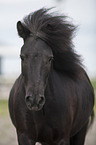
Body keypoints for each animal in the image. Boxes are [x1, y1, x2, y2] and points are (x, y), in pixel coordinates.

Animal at [8, 8, 94, 145]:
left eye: (50, 58)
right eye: (22, 56)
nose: (35, 100)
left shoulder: (62, 138)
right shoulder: (25, 136)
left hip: (81, 131)